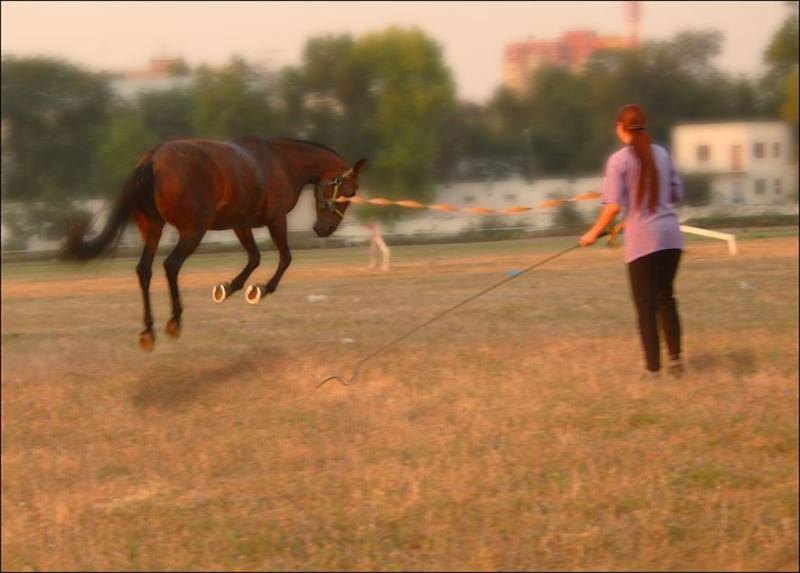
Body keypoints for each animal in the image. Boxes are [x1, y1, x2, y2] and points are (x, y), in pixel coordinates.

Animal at [67, 136, 368, 350]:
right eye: (350, 191)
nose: (324, 229)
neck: (281, 162)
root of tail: (151, 161)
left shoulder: (241, 223)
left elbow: (254, 257)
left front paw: (229, 288)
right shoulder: (276, 220)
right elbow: (284, 257)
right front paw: (260, 289)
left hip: (152, 228)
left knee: (144, 270)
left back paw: (148, 330)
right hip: (193, 231)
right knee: (171, 265)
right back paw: (174, 320)